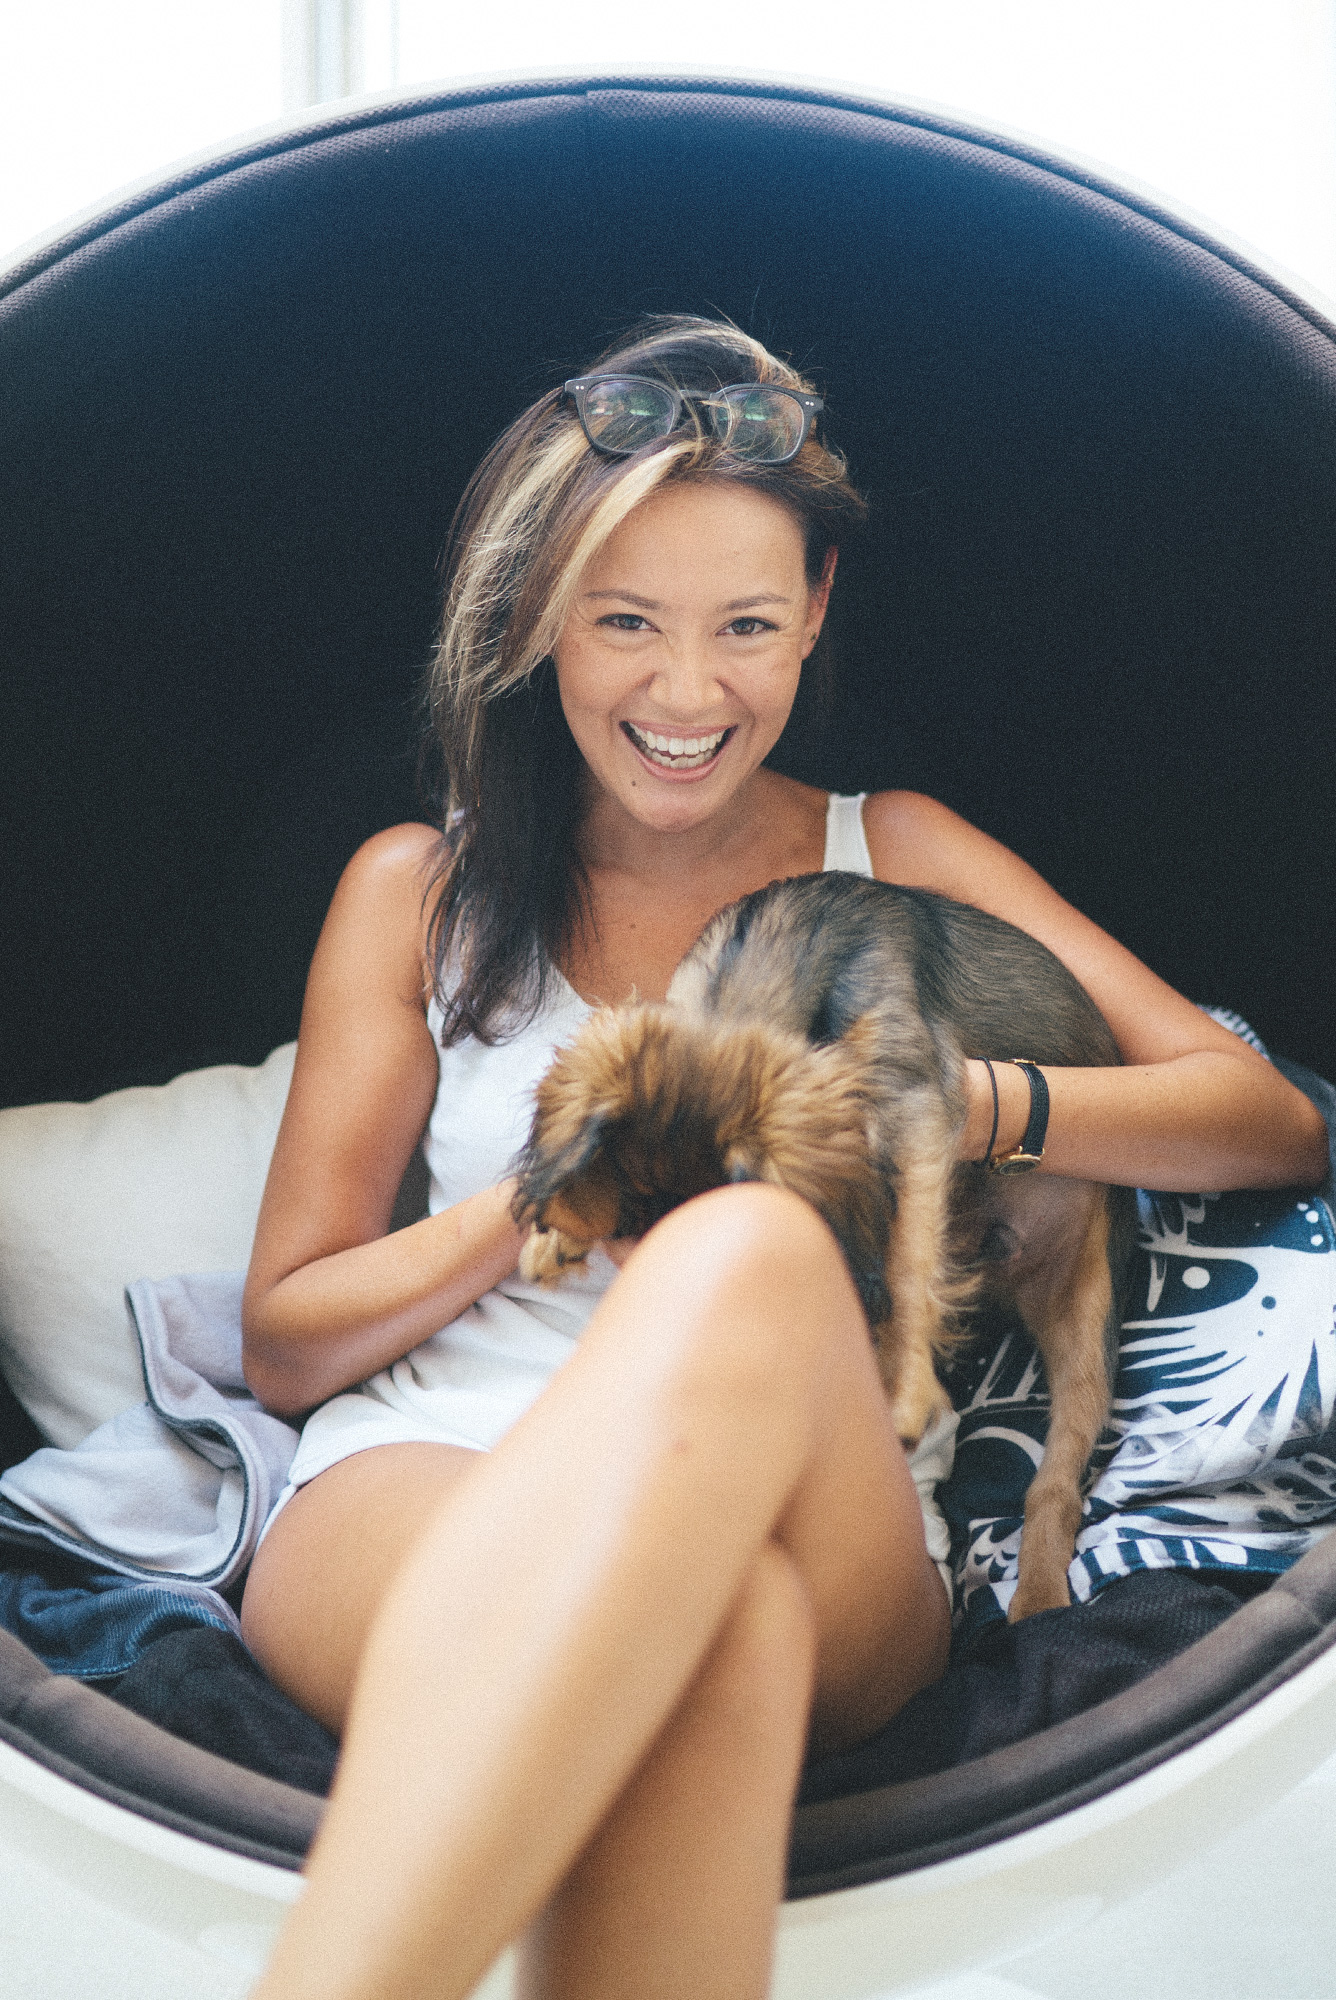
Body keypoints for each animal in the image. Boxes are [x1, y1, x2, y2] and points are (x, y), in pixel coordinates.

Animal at [513, 873, 1136, 1620]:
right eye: (638, 1229)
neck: (766, 955)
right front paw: (557, 1231)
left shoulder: (916, 1100)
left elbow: (909, 1261)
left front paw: (903, 1389)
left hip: (1085, 1321)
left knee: (1057, 1482)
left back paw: (1038, 1597)